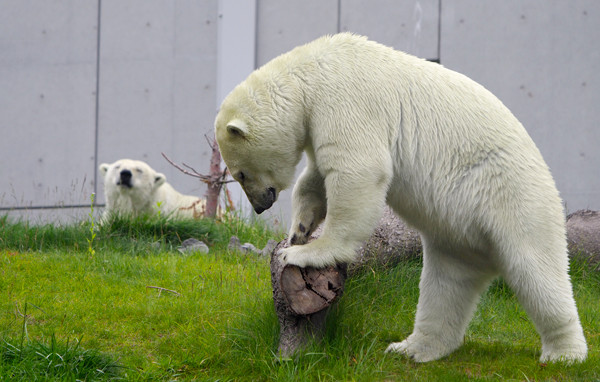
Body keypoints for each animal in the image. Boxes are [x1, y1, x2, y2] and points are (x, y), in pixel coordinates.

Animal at [214, 32, 584, 362]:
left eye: (239, 173)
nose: (260, 206)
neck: (311, 71)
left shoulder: (343, 98)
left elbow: (358, 169)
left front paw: (306, 253)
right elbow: (316, 178)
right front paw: (299, 231)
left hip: (510, 194)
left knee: (536, 269)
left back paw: (564, 352)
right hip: (457, 237)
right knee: (445, 285)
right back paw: (413, 348)